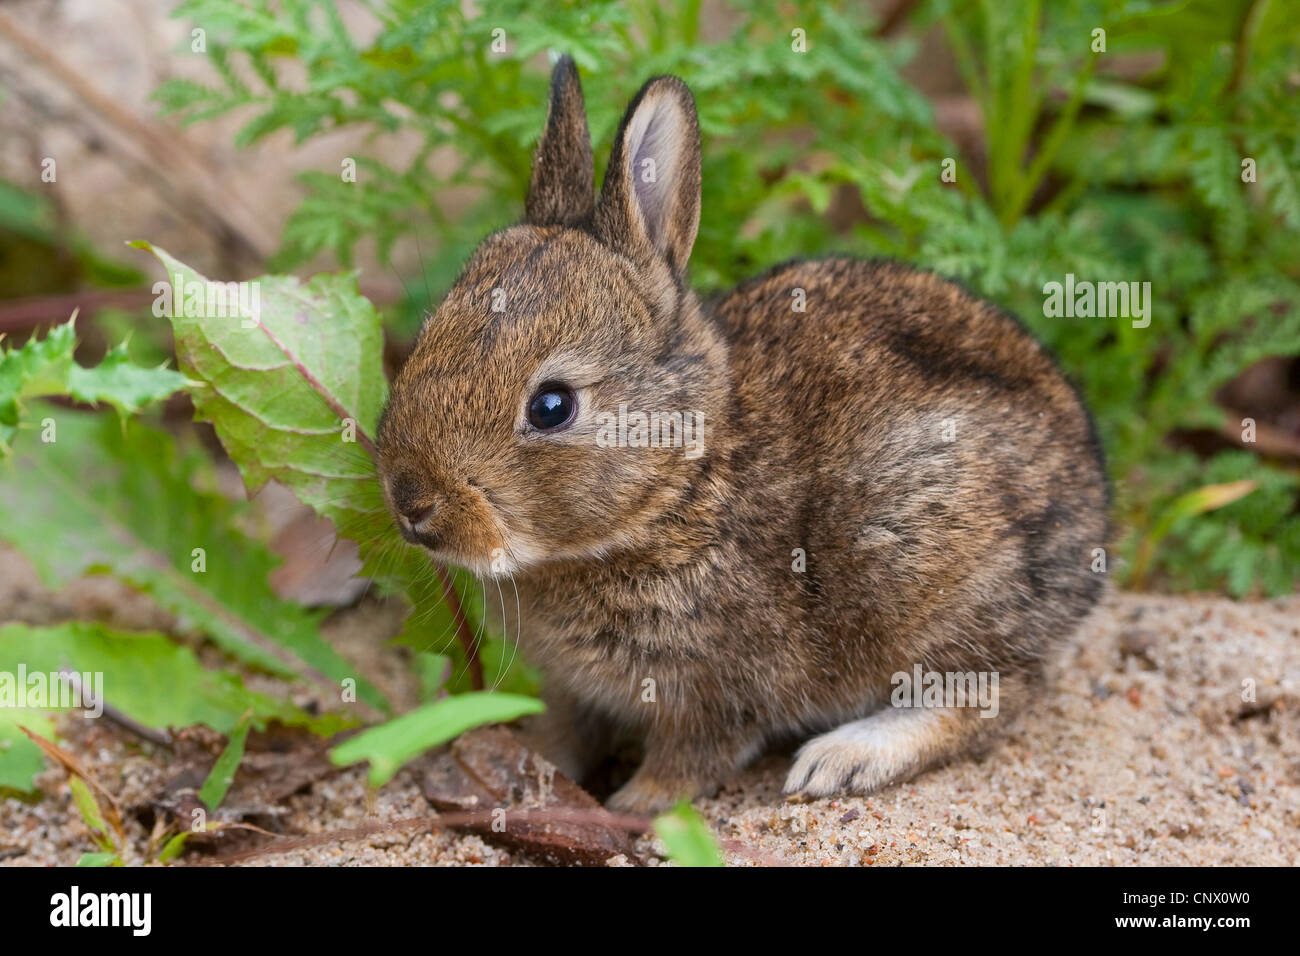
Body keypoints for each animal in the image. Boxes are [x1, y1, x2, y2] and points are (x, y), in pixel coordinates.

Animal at [377, 55, 1107, 811]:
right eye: (428, 336)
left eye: (552, 406)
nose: (412, 503)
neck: (683, 482)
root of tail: (1092, 509)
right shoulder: (576, 691)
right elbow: (565, 732)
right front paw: (540, 769)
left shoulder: (717, 689)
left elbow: (690, 759)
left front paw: (630, 808)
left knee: (991, 694)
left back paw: (841, 760)